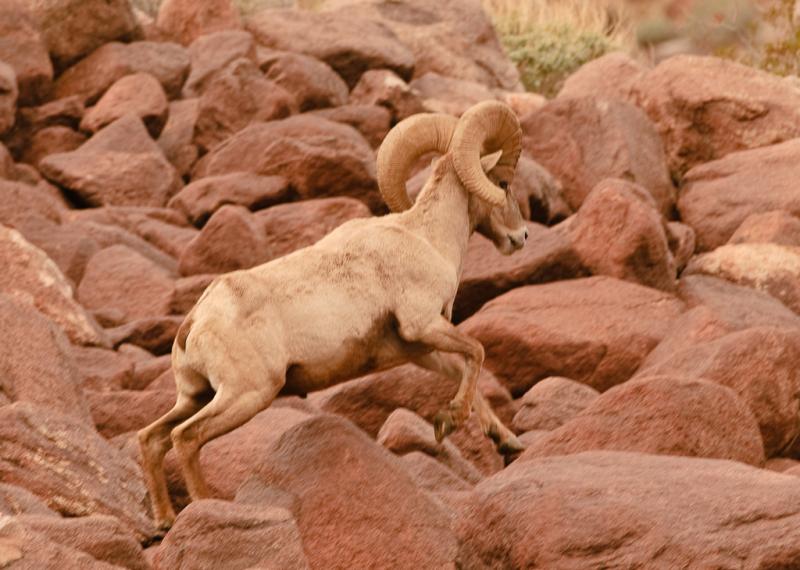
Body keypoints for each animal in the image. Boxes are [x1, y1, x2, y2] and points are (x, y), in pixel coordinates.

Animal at [138, 100, 529, 530]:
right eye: (504, 182)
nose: (520, 238)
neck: (427, 238)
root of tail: (194, 325)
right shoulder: (424, 325)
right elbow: (476, 352)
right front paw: (450, 421)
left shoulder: (419, 348)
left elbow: (463, 369)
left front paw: (505, 439)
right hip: (248, 394)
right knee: (186, 438)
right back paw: (207, 507)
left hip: (197, 395)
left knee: (151, 438)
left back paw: (165, 521)